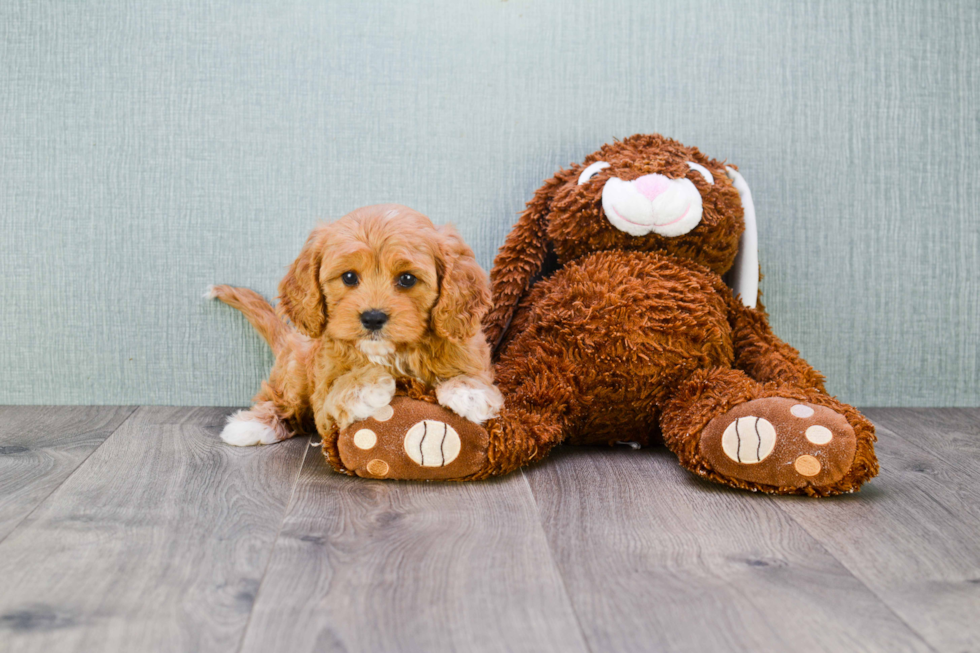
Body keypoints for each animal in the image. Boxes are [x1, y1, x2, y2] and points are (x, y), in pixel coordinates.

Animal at [205, 206, 498, 446]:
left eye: (407, 279)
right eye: (348, 277)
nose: (373, 317)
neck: (392, 352)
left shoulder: (467, 345)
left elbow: (470, 370)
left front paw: (468, 390)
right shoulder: (323, 396)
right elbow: (336, 389)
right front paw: (363, 386)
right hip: (295, 372)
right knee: (280, 399)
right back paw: (253, 425)